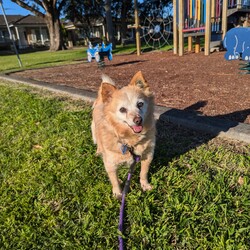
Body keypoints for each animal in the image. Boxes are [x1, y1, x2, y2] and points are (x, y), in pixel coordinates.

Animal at [91, 71, 155, 199]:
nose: (138, 120)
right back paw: (98, 152)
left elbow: (144, 172)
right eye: (122, 109)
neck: (130, 139)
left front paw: (145, 185)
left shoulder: (148, 155)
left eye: (140, 104)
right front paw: (118, 193)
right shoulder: (110, 164)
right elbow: (114, 180)